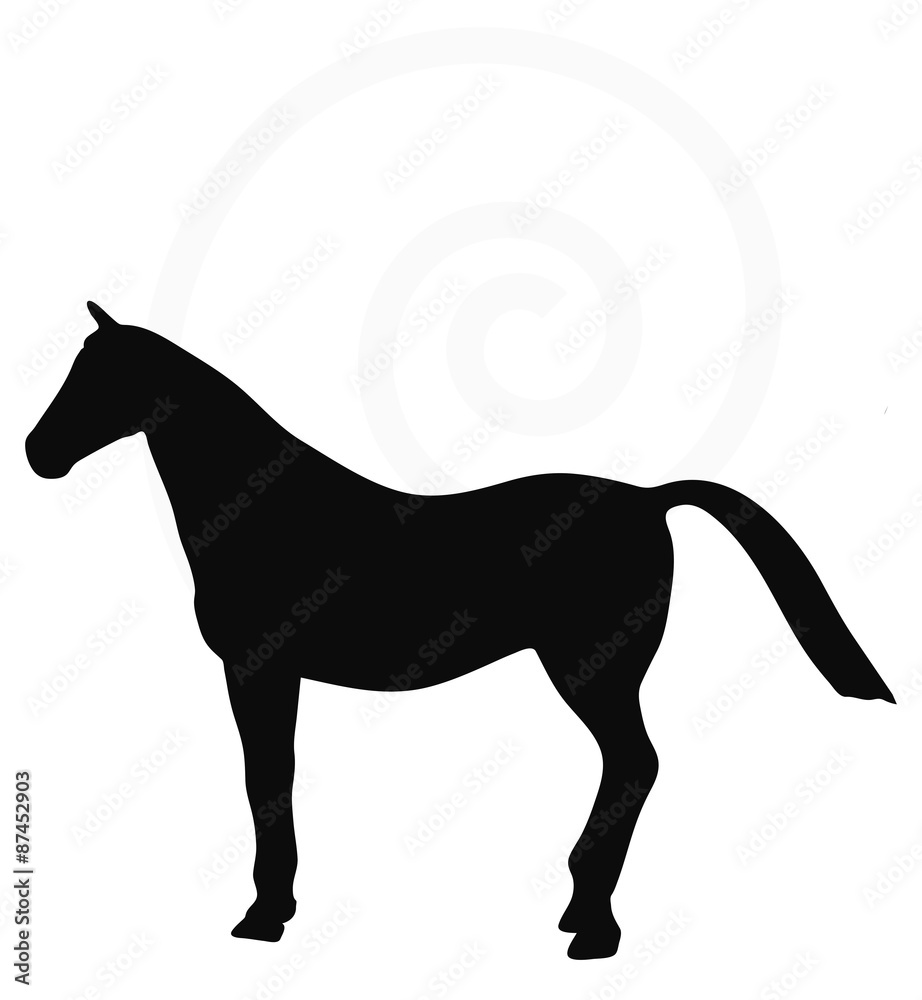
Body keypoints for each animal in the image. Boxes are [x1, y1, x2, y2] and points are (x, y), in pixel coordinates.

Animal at [25, 302, 895, 960]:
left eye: (104, 378)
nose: (37, 453)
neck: (265, 511)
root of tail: (649, 499)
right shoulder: (270, 674)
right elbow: (272, 779)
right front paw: (276, 908)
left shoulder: (259, 669)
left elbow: (267, 781)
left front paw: (263, 917)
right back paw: (578, 913)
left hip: (595, 671)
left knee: (635, 765)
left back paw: (594, 930)